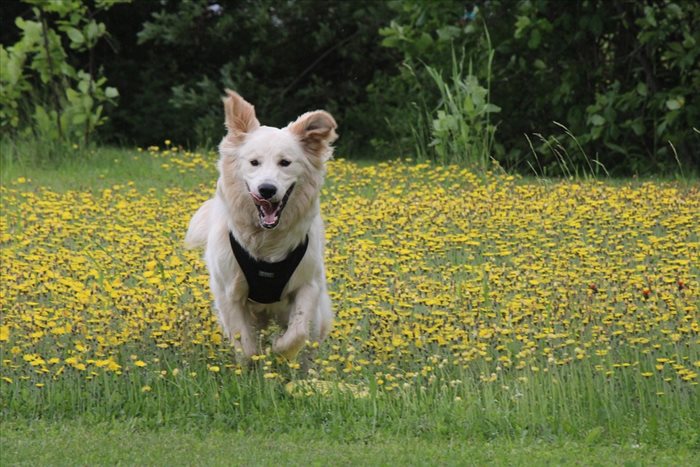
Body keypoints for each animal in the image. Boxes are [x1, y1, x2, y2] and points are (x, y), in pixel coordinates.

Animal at [185, 90, 338, 362]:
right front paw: (255, 364)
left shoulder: (308, 285)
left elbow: (298, 332)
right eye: (254, 162)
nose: (267, 189)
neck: (266, 242)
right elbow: (245, 345)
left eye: (285, 162)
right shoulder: (229, 293)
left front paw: (279, 351)